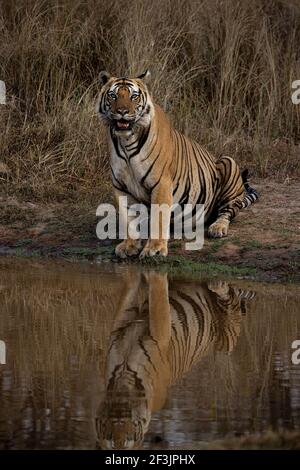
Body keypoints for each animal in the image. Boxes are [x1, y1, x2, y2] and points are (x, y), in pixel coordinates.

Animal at [95, 272, 254, 452]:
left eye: (128, 441)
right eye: (109, 440)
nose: (119, 437)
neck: (124, 384)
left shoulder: (160, 332)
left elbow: (157, 291)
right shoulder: (119, 326)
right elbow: (129, 289)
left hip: (226, 341)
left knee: (234, 301)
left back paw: (218, 284)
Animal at [96, 70, 258, 258]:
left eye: (133, 96)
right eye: (113, 96)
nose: (122, 111)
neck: (126, 142)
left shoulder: (161, 183)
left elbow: (159, 219)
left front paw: (154, 249)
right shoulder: (121, 187)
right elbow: (127, 219)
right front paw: (129, 246)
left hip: (228, 162)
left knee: (227, 211)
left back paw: (217, 228)